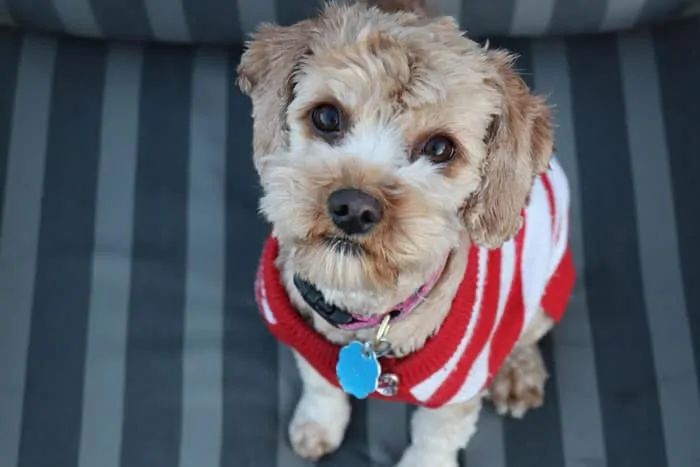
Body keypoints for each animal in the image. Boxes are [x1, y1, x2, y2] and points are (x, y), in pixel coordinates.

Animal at [238, 1, 576, 466]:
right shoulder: (304, 340)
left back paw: (516, 372)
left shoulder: (455, 397)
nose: (354, 208)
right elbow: (321, 385)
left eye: (439, 148)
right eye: (326, 116)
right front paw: (318, 426)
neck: (366, 316)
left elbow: (432, 440)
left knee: (526, 334)